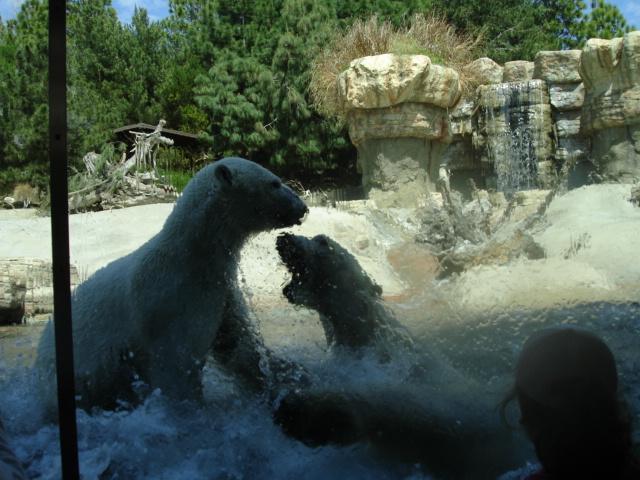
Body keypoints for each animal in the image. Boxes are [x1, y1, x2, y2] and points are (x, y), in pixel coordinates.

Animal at [35, 157, 308, 412]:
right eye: (274, 183)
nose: (303, 208)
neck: (194, 255)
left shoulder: (220, 290)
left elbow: (236, 342)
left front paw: (287, 372)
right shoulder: (172, 302)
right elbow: (177, 366)